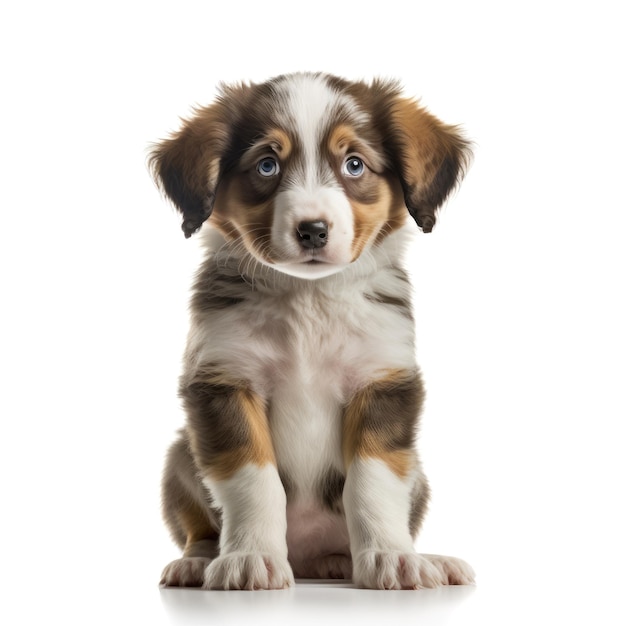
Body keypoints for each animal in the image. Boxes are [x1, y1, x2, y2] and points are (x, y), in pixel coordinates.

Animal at [150, 73, 472, 588]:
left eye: (354, 164)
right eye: (266, 165)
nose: (313, 230)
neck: (309, 299)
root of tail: (307, 562)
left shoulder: (383, 381)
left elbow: (373, 480)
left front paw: (390, 556)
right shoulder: (223, 381)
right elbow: (253, 479)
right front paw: (250, 557)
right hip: (181, 454)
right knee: (199, 527)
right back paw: (197, 562)